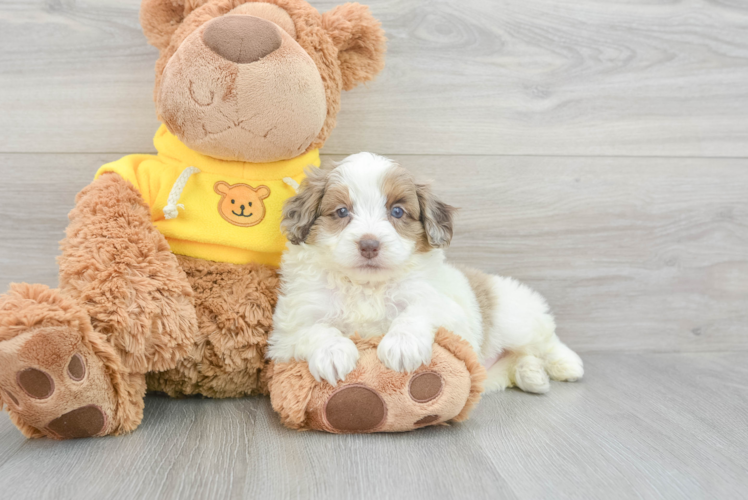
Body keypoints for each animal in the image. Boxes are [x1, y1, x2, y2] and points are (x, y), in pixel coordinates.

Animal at [268, 153, 584, 394]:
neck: (367, 286)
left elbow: (418, 311)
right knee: (520, 360)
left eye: (397, 212)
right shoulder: (288, 329)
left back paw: (566, 365)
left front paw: (402, 345)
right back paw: (532, 374)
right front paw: (333, 352)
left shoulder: (448, 310)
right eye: (342, 211)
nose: (369, 244)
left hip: (515, 318)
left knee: (545, 340)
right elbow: (313, 329)